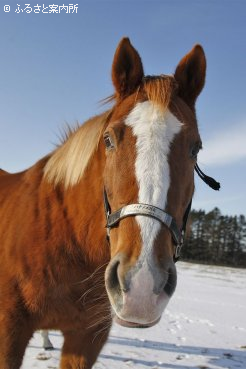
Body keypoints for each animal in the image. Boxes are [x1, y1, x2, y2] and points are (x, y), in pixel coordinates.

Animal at [0, 38, 219, 368]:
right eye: (108, 140)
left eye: (195, 148)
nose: (143, 285)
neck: (65, 239)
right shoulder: (9, 333)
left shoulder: (86, 339)